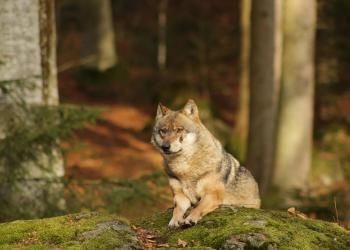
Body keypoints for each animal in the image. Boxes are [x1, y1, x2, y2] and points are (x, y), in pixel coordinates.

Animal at [150, 99, 260, 227]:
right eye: (163, 131)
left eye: (179, 130)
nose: (165, 147)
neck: (184, 167)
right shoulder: (180, 195)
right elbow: (177, 209)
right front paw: (174, 220)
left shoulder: (213, 194)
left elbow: (198, 207)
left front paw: (190, 218)